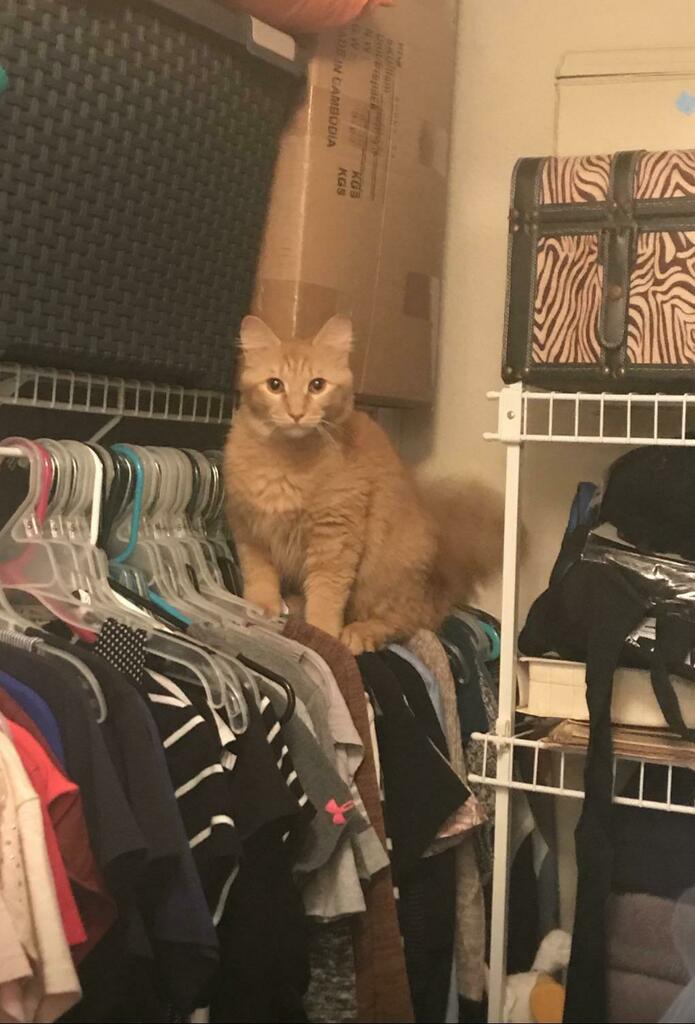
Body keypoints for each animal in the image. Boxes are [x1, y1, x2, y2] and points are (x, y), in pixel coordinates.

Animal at [224, 314, 504, 655]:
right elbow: (260, 577)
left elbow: (326, 597)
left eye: (317, 385)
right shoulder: (248, 530)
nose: (296, 413)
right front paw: (261, 608)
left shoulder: (335, 537)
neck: (287, 462)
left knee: (409, 621)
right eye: (275, 385)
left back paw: (359, 633)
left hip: (385, 572)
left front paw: (322, 634)